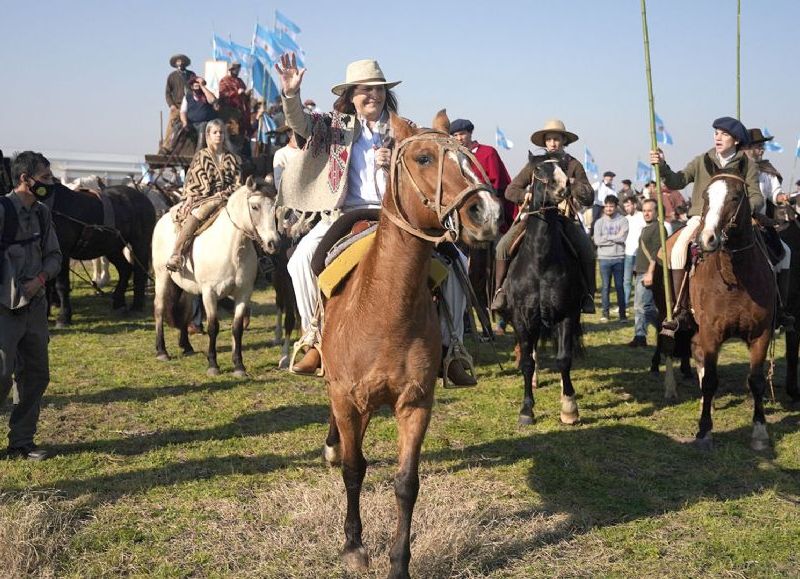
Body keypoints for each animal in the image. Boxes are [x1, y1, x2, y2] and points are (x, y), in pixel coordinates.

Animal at [45, 182, 156, 326]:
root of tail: (143, 197)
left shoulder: (63, 253)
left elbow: (61, 285)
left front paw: (63, 318)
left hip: (140, 243)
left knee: (139, 271)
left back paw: (137, 306)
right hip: (112, 247)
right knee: (125, 269)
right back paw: (119, 303)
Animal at [152, 176, 280, 376]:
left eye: (275, 206)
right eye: (255, 207)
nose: (273, 244)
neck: (232, 250)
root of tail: (162, 219)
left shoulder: (244, 293)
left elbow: (237, 328)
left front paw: (239, 366)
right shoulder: (209, 293)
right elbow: (213, 326)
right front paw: (212, 364)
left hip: (187, 288)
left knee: (185, 311)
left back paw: (187, 346)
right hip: (162, 277)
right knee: (159, 308)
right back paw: (162, 351)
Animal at [318, 111, 500, 576]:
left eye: (469, 154)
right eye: (423, 157)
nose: (487, 212)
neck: (384, 309)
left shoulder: (416, 403)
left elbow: (406, 484)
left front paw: (398, 562)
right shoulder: (348, 398)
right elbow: (354, 469)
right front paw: (353, 545)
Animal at [504, 154, 584, 426]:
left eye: (563, 169)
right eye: (538, 170)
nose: (564, 187)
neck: (540, 262)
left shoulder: (567, 314)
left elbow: (564, 359)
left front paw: (569, 407)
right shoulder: (521, 317)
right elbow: (527, 362)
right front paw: (526, 410)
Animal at [688, 174, 776, 450]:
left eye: (735, 197)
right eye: (705, 196)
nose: (706, 239)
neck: (735, 278)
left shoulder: (761, 333)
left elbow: (756, 381)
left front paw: (760, 431)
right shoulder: (710, 332)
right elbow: (710, 380)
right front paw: (704, 430)